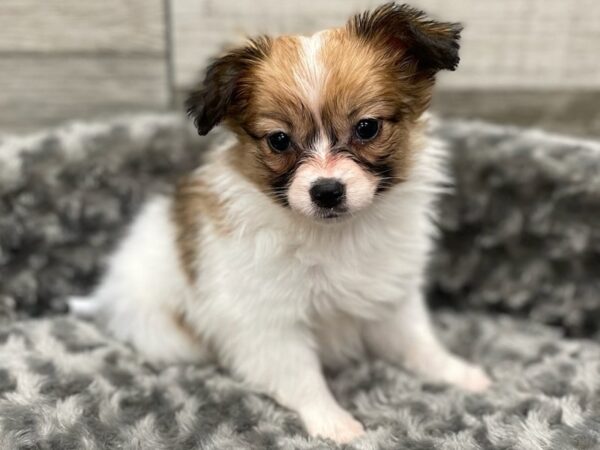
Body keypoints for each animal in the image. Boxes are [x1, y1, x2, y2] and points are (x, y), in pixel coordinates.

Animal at [71, 3, 492, 444]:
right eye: (278, 140)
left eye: (367, 127)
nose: (326, 191)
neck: (334, 234)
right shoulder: (270, 323)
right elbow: (302, 377)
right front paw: (333, 422)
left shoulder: (390, 298)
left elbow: (419, 343)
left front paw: (458, 373)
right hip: (164, 333)